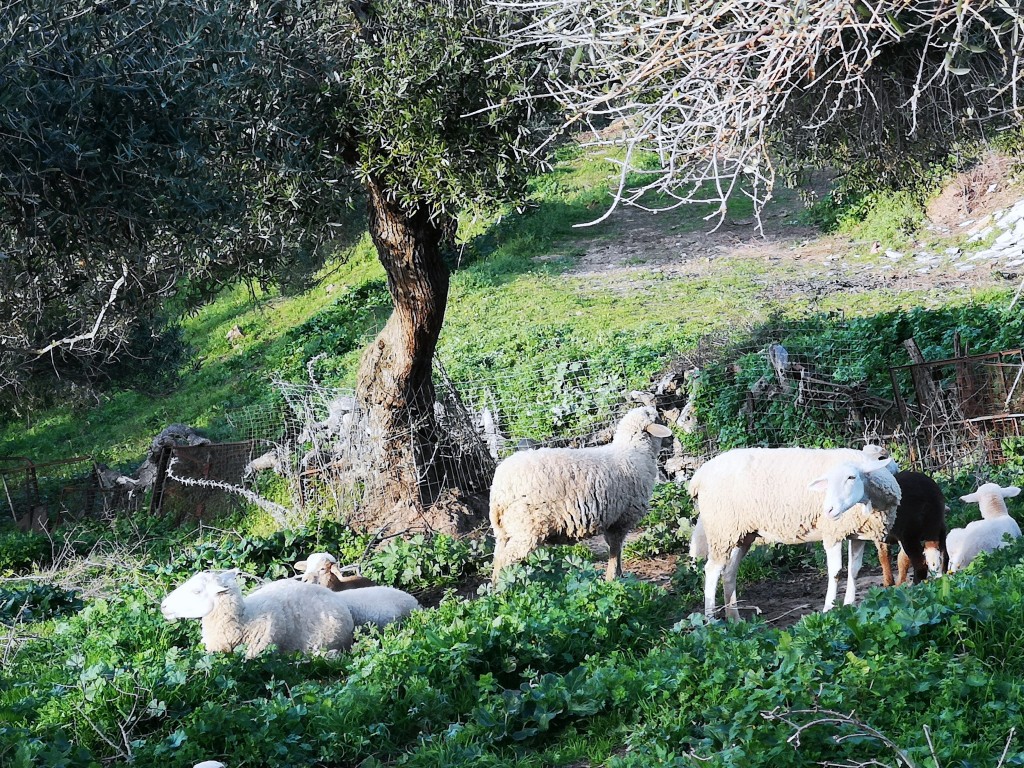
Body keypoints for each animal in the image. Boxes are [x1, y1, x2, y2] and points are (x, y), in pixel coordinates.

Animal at [491, 405, 675, 581]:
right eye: (658, 419)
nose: (672, 439)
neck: (634, 452)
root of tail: (500, 489)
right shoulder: (622, 518)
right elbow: (615, 549)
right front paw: (613, 577)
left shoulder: (611, 519)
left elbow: (614, 547)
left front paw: (618, 575)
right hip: (526, 528)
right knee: (506, 560)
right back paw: (508, 588)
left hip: (504, 530)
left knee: (497, 559)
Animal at [688, 448, 897, 622]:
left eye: (851, 477)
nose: (828, 510)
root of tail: (699, 476)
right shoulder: (833, 532)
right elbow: (836, 572)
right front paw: (829, 609)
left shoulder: (857, 534)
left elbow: (855, 570)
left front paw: (849, 606)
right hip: (721, 529)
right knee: (712, 570)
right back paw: (711, 621)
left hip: (740, 534)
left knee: (729, 572)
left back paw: (735, 619)